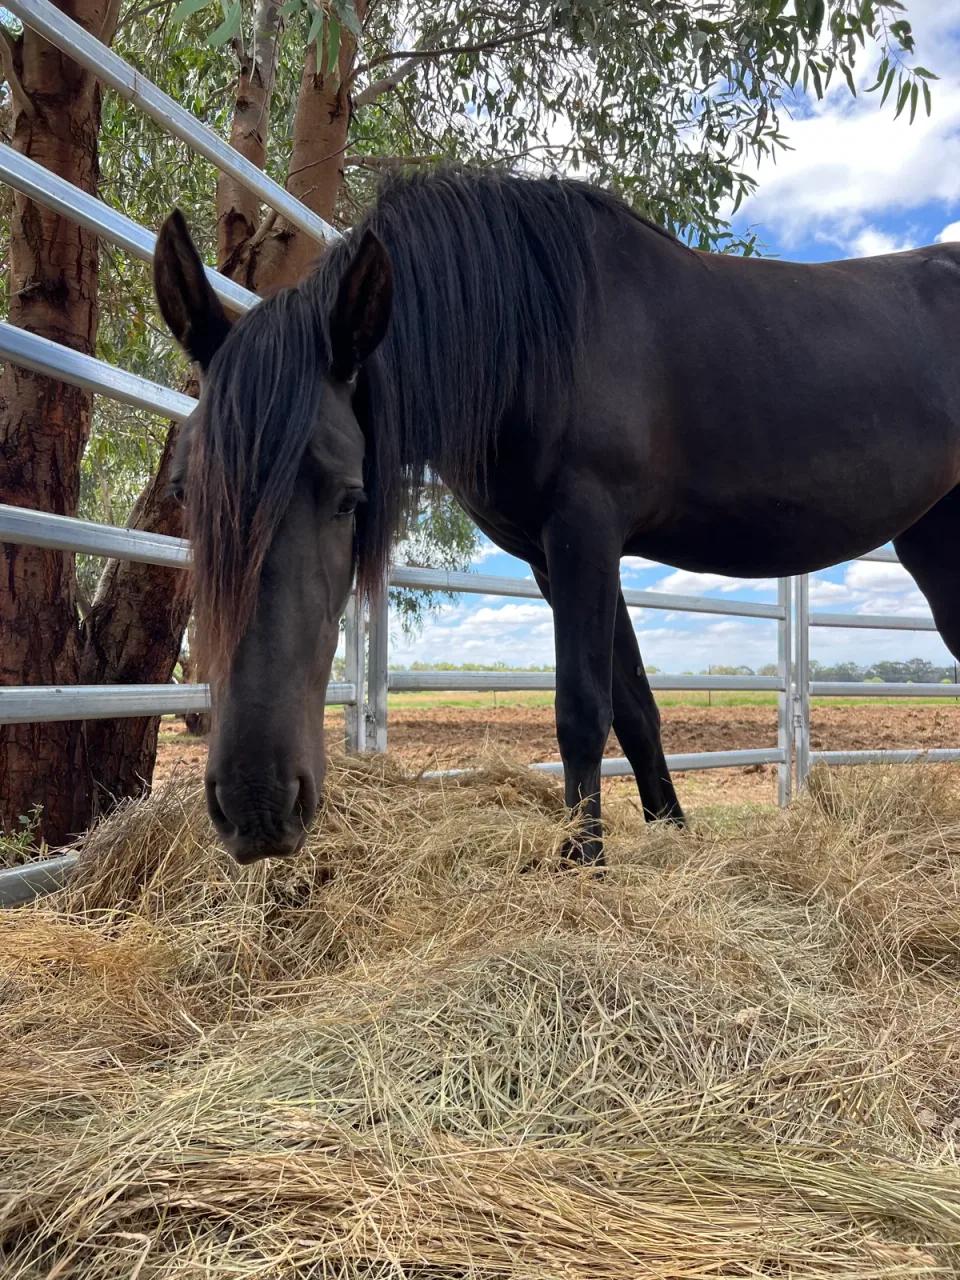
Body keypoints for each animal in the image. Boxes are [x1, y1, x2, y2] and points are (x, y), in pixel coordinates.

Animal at [153, 169, 960, 866]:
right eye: (185, 492)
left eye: (351, 496)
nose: (257, 807)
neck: (532, 335)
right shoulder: (553, 555)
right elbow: (635, 709)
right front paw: (671, 841)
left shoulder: (585, 533)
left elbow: (582, 708)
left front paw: (584, 863)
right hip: (930, 539)